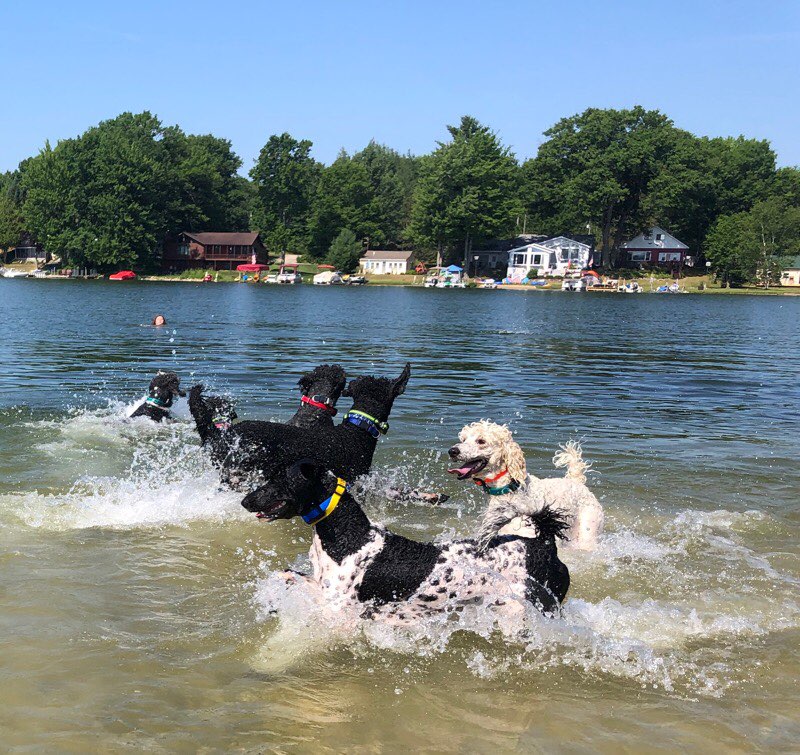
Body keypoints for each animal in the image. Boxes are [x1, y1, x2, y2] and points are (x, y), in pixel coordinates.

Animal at [241, 460, 572, 620]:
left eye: (279, 479)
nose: (245, 500)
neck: (349, 535)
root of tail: (544, 544)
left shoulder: (337, 605)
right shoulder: (324, 588)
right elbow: (286, 574)